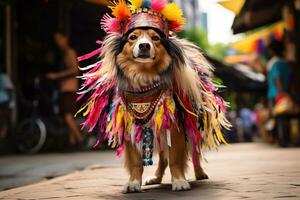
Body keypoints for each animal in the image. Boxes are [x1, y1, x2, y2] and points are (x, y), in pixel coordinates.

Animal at [76, 0, 231, 194]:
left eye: (155, 38)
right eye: (133, 37)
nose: (144, 46)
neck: (144, 78)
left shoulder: (174, 125)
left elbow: (175, 159)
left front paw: (179, 181)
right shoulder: (130, 126)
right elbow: (137, 162)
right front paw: (133, 183)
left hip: (191, 125)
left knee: (194, 151)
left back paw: (200, 173)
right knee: (163, 159)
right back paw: (156, 178)